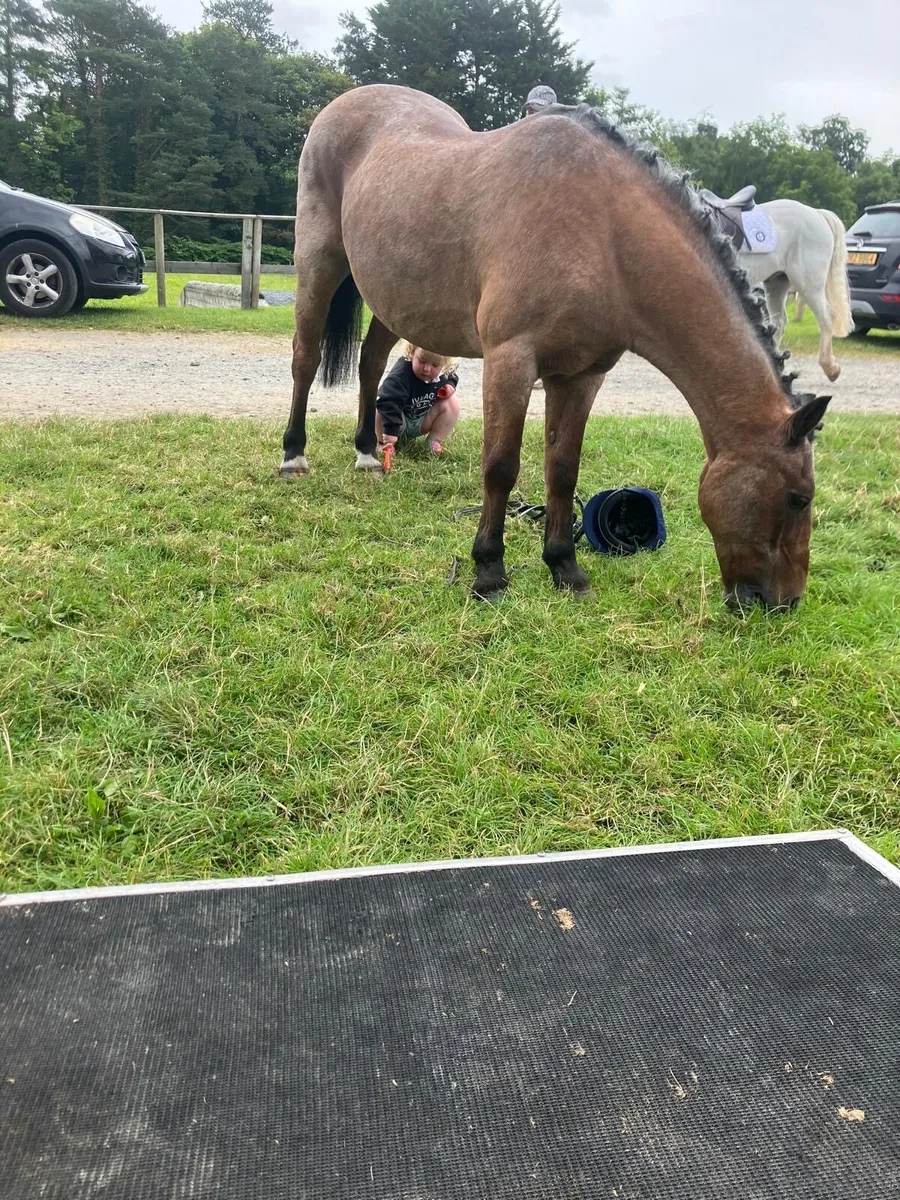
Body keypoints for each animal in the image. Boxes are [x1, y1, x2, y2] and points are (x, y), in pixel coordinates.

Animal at [279, 85, 831, 611]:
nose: (785, 602)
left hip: (396, 300)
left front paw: (565, 567)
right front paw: (489, 572)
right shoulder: (511, 361)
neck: (601, 232)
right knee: (306, 359)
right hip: (319, 263)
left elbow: (563, 469)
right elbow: (501, 467)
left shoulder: (582, 375)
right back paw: (293, 455)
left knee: (371, 361)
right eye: (799, 498)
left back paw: (367, 452)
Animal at [736, 200, 853, 382]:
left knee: (826, 317)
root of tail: (817, 214)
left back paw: (830, 367)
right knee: (777, 324)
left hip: (808, 284)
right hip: (776, 284)